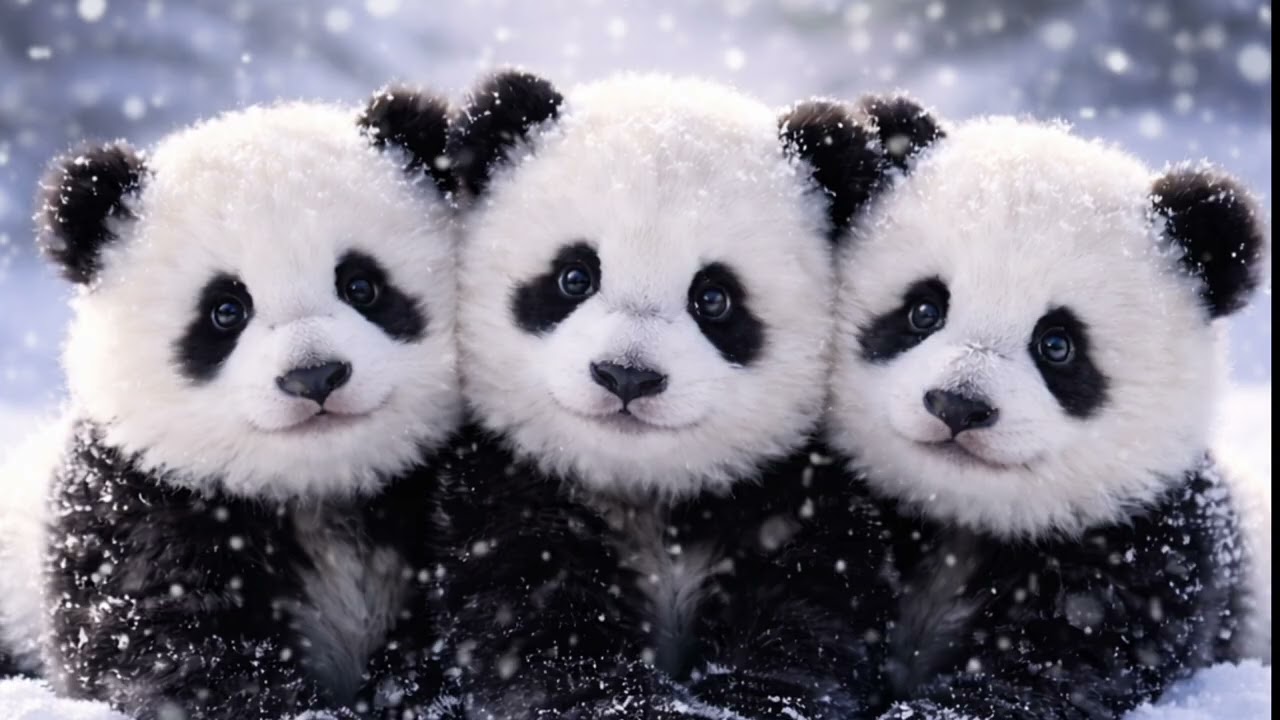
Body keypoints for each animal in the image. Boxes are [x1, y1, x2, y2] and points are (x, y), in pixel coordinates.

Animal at [26, 91, 462, 719]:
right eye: (226, 310)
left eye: (361, 286)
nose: (315, 377)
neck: (321, 488)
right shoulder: (136, 502)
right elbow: (169, 649)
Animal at [436, 70, 896, 719]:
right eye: (574, 276)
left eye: (714, 298)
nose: (627, 377)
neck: (649, 492)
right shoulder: (505, 492)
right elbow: (537, 633)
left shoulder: (800, 494)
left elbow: (807, 630)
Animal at [824, 96, 1269, 719]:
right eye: (923, 310)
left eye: (1057, 344)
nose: (958, 406)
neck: (964, 517)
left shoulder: (1149, 547)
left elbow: (1054, 669)